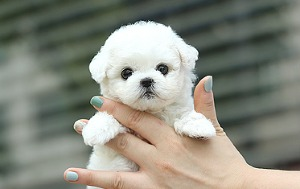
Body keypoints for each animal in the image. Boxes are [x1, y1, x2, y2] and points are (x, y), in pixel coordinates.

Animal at [81, 21, 214, 189]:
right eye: (126, 73)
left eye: (162, 68)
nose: (146, 81)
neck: (151, 111)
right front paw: (97, 128)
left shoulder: (178, 107)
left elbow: (183, 113)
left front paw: (198, 125)